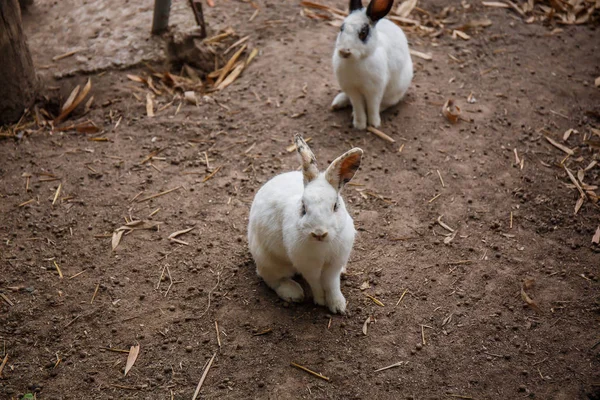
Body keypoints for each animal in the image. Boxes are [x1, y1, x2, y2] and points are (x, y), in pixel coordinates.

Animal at [246, 136, 364, 314]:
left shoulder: (335, 263)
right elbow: (315, 283)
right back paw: (293, 293)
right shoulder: (307, 265)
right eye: (303, 207)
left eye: (335, 206)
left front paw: (338, 306)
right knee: (271, 278)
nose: (319, 233)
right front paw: (321, 301)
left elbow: (332, 283)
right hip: (268, 260)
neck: (322, 246)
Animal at [330, 0, 414, 129]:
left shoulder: (374, 91)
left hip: (395, 92)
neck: (356, 60)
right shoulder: (352, 90)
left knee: (385, 104)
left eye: (363, 33)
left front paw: (374, 124)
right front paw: (359, 125)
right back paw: (337, 103)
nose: (344, 51)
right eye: (341, 28)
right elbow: (357, 106)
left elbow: (372, 107)